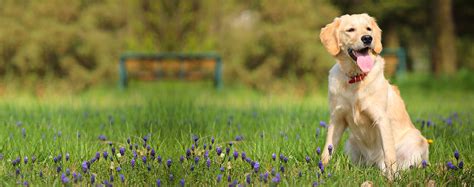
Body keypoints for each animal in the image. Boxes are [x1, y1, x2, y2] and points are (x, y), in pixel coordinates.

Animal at [320, 13, 428, 180]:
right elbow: (327, 150)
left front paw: (392, 180)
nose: (367, 38)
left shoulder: (381, 118)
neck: (356, 78)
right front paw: (321, 172)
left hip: (417, 140)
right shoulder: (337, 118)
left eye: (368, 29)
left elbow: (390, 155)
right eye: (350, 30)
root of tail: (375, 164)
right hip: (351, 143)